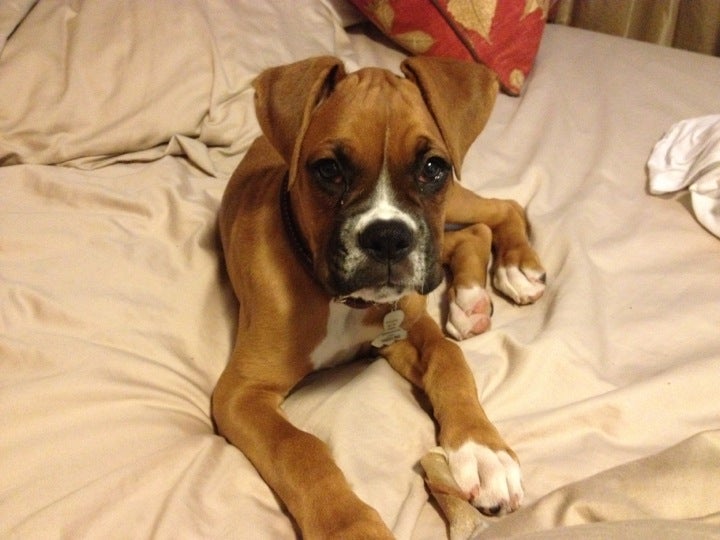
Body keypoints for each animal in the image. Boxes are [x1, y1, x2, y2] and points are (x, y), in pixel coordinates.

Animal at [213, 55, 546, 539]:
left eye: (433, 168)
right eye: (328, 170)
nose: (388, 236)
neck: (340, 302)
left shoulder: (409, 329)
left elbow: (449, 359)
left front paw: (483, 450)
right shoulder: (241, 392)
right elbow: (299, 448)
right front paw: (350, 525)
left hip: (452, 207)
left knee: (502, 209)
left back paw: (513, 269)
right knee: (475, 232)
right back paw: (472, 298)